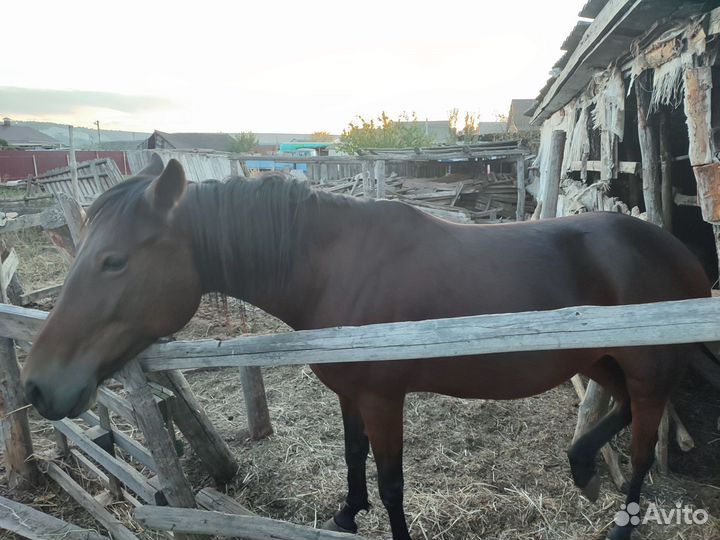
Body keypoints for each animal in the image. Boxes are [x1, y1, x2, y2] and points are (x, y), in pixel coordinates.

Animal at [22, 156, 710, 540]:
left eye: (113, 261)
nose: (37, 385)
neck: (332, 268)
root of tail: (681, 254)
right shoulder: (350, 393)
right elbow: (354, 460)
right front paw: (346, 516)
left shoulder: (383, 398)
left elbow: (390, 480)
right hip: (607, 361)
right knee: (623, 416)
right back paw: (582, 465)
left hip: (645, 371)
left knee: (643, 450)